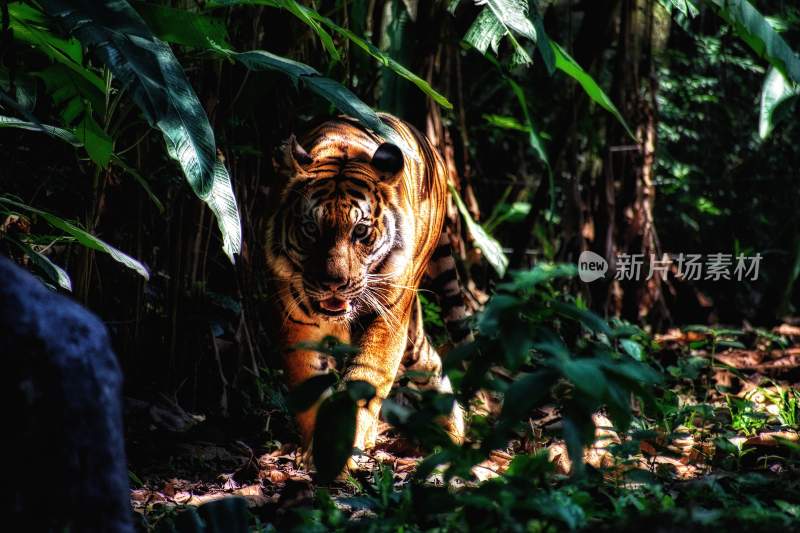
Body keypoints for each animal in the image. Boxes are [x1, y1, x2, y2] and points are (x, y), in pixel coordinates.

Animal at [266, 113, 472, 470]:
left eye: (360, 231)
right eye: (311, 229)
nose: (334, 283)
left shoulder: (387, 320)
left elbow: (365, 382)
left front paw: (341, 448)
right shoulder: (297, 325)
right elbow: (310, 386)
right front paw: (319, 452)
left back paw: (452, 434)